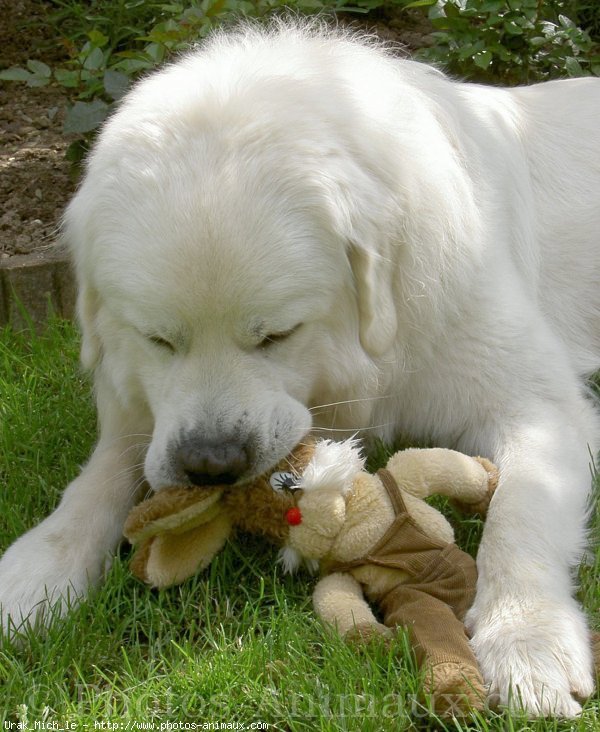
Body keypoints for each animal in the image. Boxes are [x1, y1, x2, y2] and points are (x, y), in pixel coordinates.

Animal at [1, 21, 600, 716]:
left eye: (277, 335)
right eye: (159, 340)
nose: (211, 464)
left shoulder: (540, 404)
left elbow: (523, 507)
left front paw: (527, 637)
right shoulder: (138, 413)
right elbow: (96, 481)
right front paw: (37, 570)